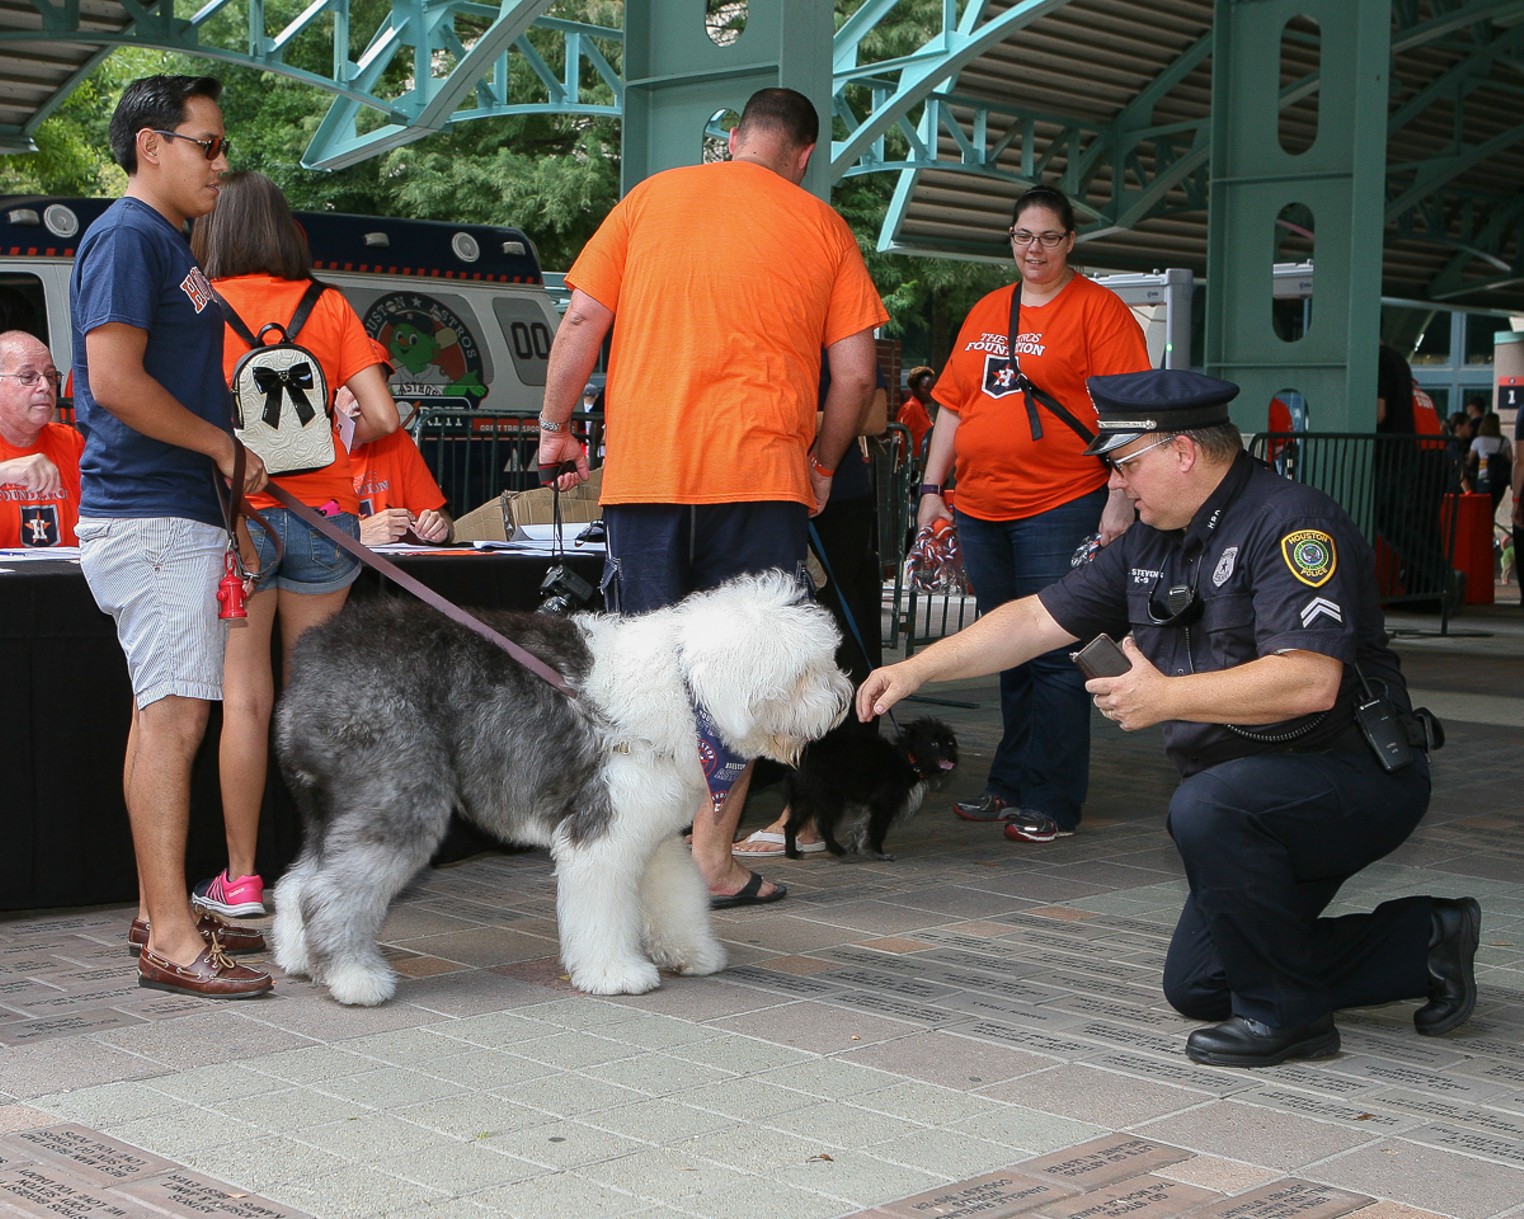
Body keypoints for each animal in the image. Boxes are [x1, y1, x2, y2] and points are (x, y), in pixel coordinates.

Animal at [268, 575, 853, 1005]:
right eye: (805, 672)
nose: (844, 699)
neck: (687, 689)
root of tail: (317, 651)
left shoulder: (653, 830)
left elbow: (674, 894)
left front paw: (692, 953)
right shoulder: (605, 828)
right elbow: (603, 908)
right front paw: (616, 972)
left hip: (331, 805)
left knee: (298, 883)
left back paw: (299, 959)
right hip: (398, 797)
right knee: (329, 892)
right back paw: (354, 980)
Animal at [786, 719, 950, 859]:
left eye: (950, 742)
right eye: (934, 743)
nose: (949, 753)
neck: (905, 759)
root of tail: (807, 754)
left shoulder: (871, 807)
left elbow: (864, 827)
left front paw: (859, 846)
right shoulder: (884, 805)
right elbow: (878, 830)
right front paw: (879, 852)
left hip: (806, 799)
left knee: (791, 825)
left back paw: (792, 853)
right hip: (831, 799)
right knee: (823, 824)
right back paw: (836, 849)